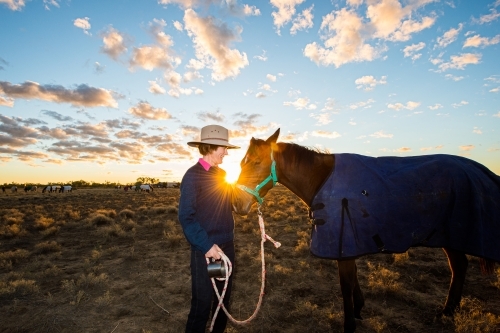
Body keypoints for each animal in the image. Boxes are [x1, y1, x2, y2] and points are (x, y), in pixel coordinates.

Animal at [231, 128, 500, 330]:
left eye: (256, 162)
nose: (236, 204)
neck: (323, 180)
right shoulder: (349, 243)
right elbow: (354, 279)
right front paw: (359, 308)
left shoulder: (344, 243)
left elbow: (346, 284)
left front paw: (349, 323)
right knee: (460, 266)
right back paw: (447, 312)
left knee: (459, 266)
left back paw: (447, 312)